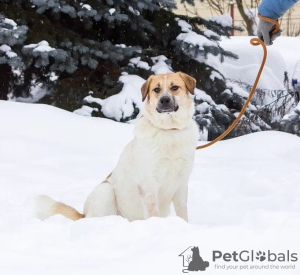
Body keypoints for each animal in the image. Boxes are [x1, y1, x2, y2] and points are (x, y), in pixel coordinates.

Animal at [37, 72, 200, 223]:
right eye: (156, 89)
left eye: (174, 87)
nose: (164, 100)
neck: (170, 131)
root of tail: (83, 215)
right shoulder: (148, 183)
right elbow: (153, 211)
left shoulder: (181, 183)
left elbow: (183, 213)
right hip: (105, 190)